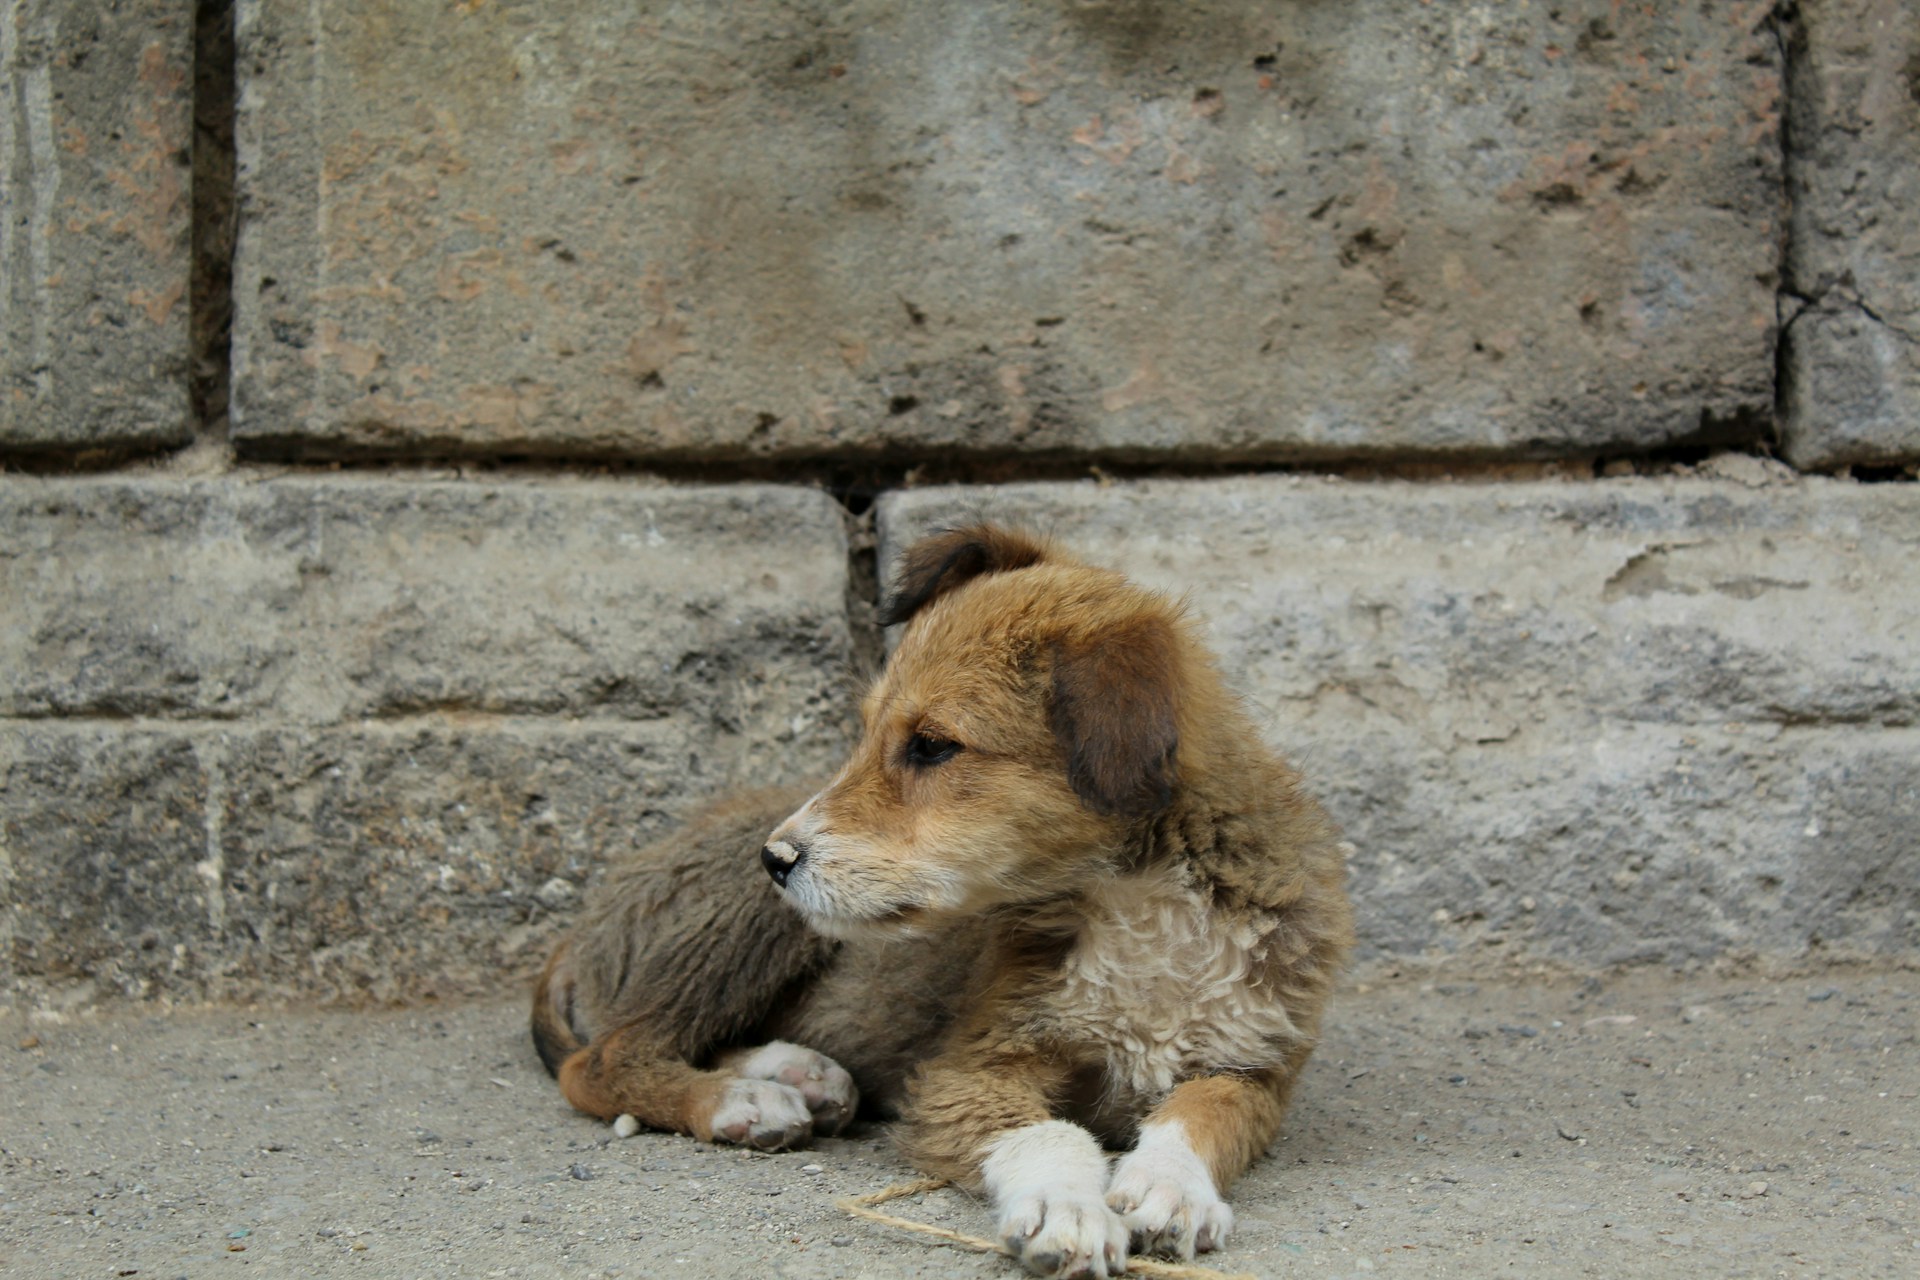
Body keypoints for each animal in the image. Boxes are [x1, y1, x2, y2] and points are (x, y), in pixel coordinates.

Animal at [533, 525, 1359, 1274]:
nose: (775, 857)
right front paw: (1068, 1208)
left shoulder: (1253, 1069)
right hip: (743, 924)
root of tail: (582, 928)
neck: (1137, 903)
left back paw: (798, 1074)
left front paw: (1169, 1187)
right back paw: (743, 1101)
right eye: (869, 730)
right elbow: (1051, 1134)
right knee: (607, 1058)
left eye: (932, 746)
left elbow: (1197, 1116)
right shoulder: (972, 1066)